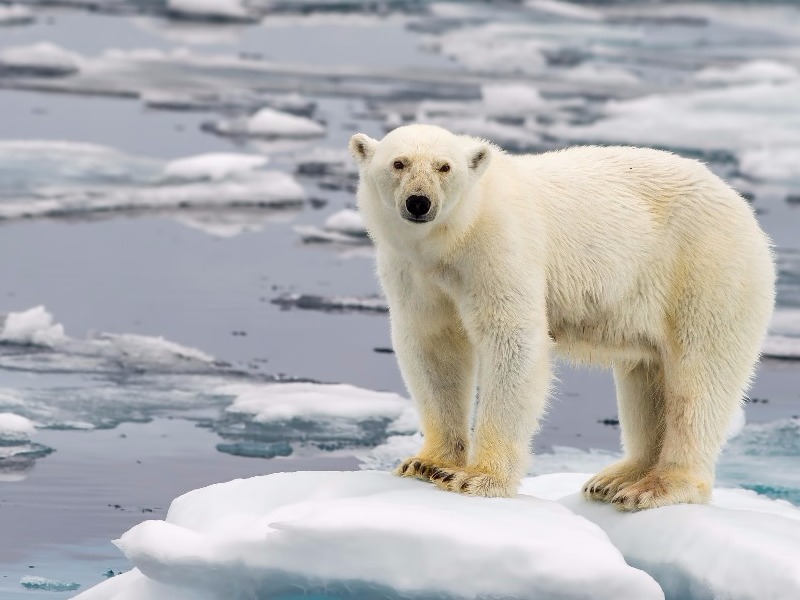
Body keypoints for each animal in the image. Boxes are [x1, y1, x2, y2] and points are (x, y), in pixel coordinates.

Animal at [350, 124, 776, 508]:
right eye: (399, 163)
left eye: (444, 167)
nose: (419, 202)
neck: (452, 239)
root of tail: (743, 208)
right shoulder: (413, 273)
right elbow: (433, 347)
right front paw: (427, 464)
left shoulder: (499, 249)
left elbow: (513, 341)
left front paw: (478, 478)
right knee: (648, 375)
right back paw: (615, 479)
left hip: (706, 269)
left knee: (699, 377)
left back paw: (658, 486)